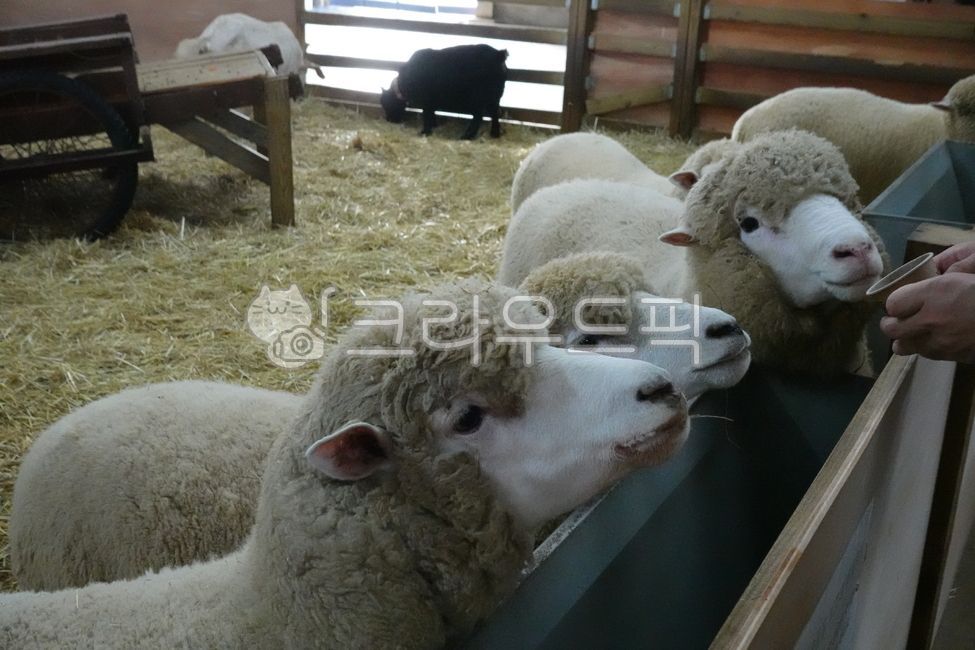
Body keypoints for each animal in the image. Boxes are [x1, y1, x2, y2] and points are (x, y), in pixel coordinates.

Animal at [380, 44, 508, 139]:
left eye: (389, 104)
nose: (390, 120)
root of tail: (498, 54)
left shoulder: (426, 100)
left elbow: (427, 114)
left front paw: (425, 131)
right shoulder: (431, 101)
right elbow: (431, 113)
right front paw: (433, 125)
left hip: (478, 98)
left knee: (479, 116)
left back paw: (467, 136)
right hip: (494, 98)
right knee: (495, 114)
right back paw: (494, 133)